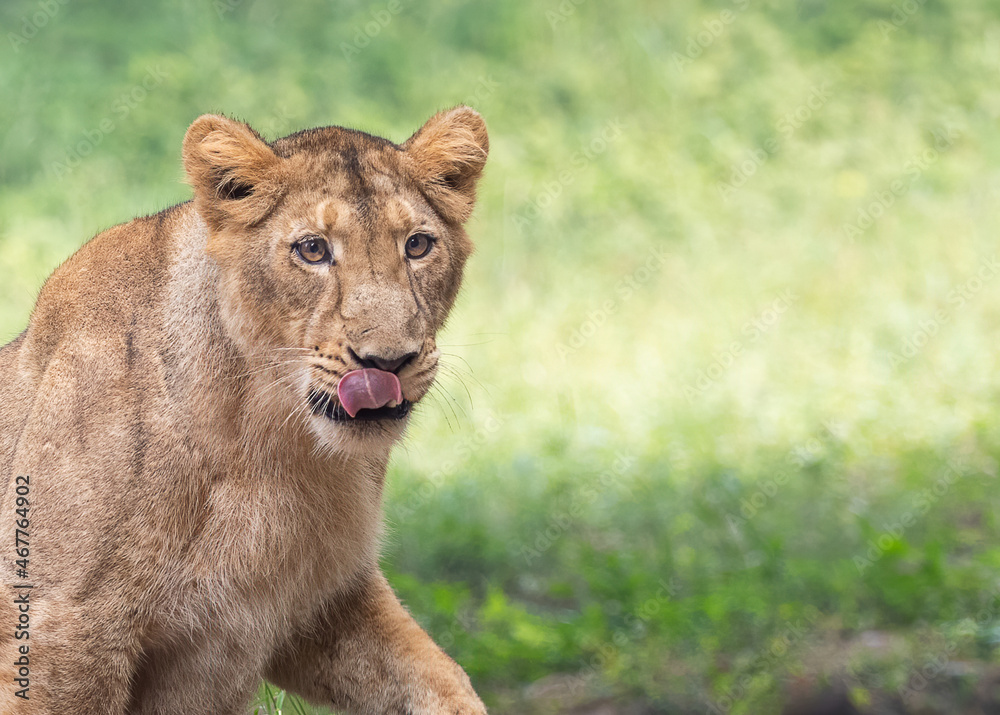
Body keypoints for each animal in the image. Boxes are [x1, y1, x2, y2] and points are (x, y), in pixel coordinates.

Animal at [0, 106, 489, 714]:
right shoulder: (61, 625)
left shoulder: (326, 600)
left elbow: (441, 679)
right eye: (312, 250)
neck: (267, 438)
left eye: (418, 245)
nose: (389, 361)